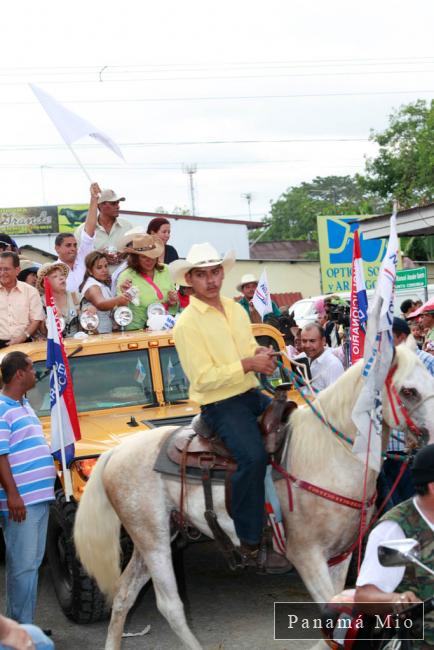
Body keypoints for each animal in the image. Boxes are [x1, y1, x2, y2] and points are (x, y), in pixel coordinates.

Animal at [73, 342, 434, 644]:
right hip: (155, 539)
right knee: (170, 605)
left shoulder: (341, 556)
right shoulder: (306, 555)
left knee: (124, 595)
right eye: (408, 391)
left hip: (154, 536)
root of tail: (116, 451)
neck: (329, 454)